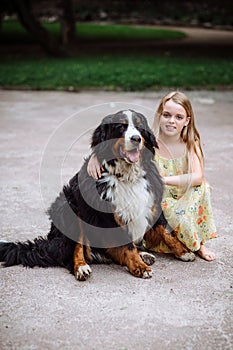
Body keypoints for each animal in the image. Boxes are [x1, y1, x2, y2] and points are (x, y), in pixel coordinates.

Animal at [0, 110, 195, 280]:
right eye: (121, 127)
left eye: (140, 127)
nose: (136, 138)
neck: (127, 176)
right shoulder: (110, 216)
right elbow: (127, 245)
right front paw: (139, 266)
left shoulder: (151, 202)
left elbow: (166, 231)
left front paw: (184, 252)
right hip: (69, 210)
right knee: (73, 251)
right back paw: (81, 267)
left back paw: (144, 255)